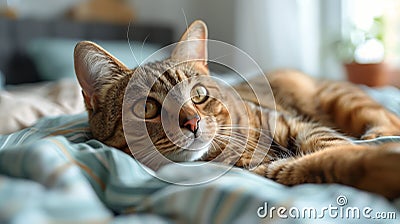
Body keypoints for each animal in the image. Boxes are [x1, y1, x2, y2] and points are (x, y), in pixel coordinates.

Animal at [73, 20, 400, 199]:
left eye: (198, 94)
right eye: (148, 108)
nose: (192, 122)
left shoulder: (299, 125)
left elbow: (331, 146)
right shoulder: (266, 171)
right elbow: (328, 160)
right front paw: (379, 165)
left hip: (344, 101)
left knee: (388, 119)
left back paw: (376, 133)